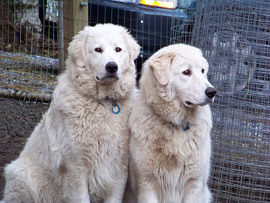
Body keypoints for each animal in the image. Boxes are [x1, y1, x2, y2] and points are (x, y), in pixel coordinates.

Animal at [2, 24, 140, 203]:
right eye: (98, 49)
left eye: (118, 49)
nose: (112, 66)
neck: (102, 102)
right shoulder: (76, 167)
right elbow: (81, 197)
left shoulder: (119, 168)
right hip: (22, 175)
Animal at [127, 43, 216, 202]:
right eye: (186, 72)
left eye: (202, 71)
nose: (212, 92)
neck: (175, 124)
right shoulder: (147, 183)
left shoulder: (194, 184)